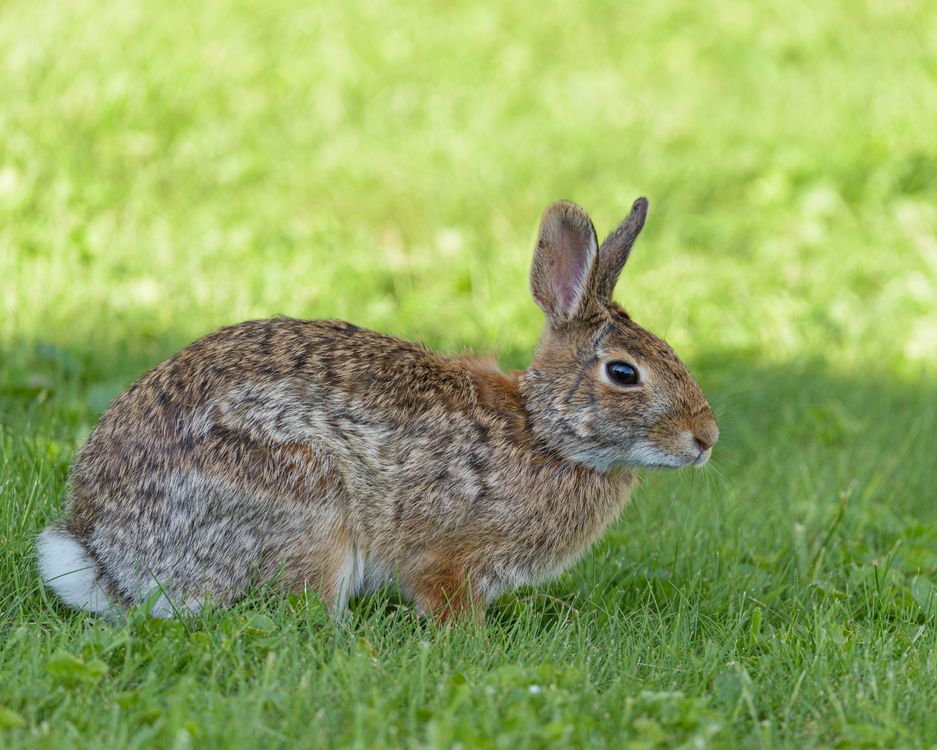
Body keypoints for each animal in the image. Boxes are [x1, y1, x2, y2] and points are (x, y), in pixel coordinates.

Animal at [37, 197, 719, 621]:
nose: (706, 438)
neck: (544, 432)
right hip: (308, 508)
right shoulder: (452, 555)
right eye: (624, 373)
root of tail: (107, 554)